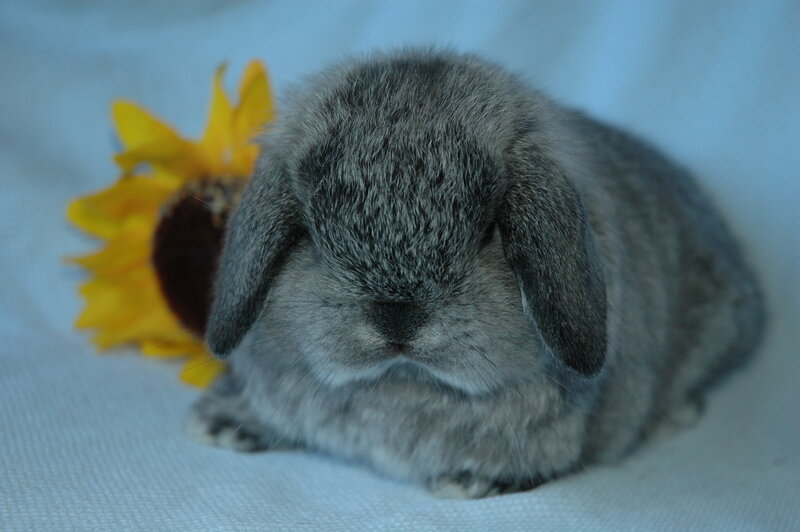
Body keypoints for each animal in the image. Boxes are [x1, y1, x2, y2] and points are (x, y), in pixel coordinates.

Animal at [186, 49, 765, 498]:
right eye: (311, 230)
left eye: (488, 231)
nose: (397, 321)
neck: (401, 385)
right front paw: (223, 422)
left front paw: (470, 480)